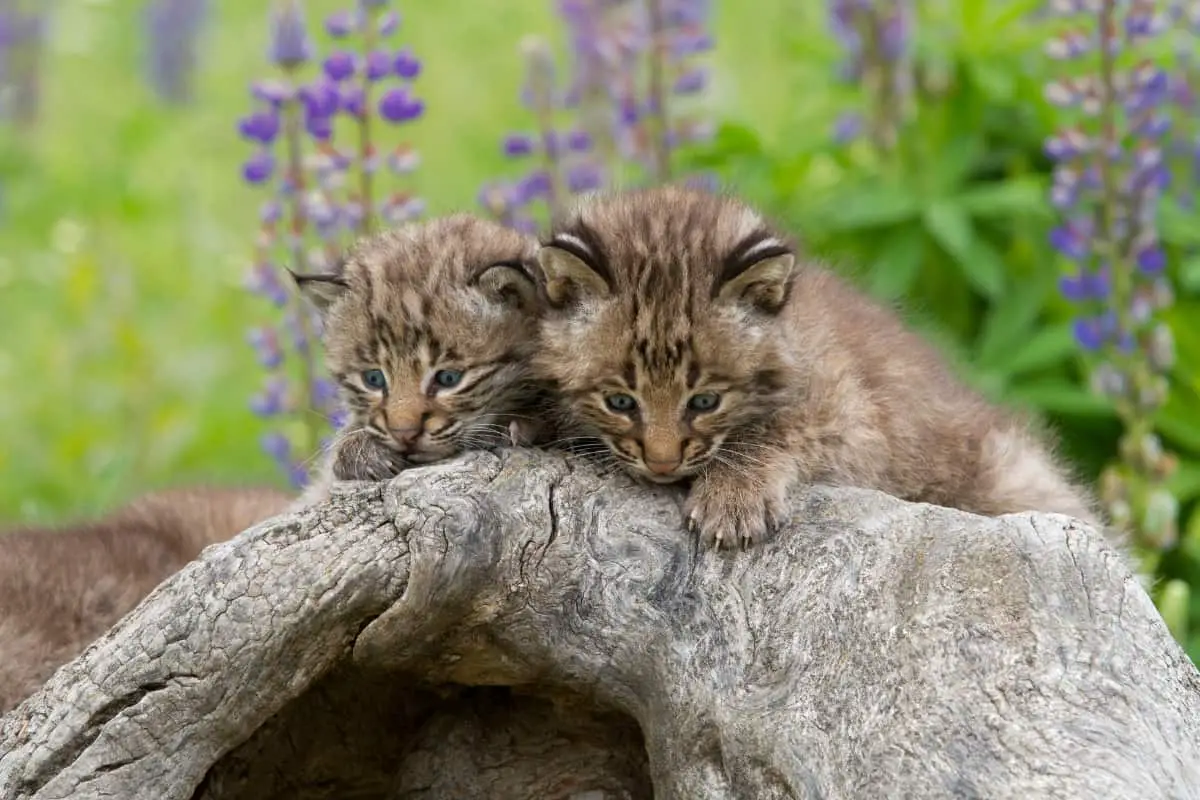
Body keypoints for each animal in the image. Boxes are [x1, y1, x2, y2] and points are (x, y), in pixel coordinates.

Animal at [535, 185, 1104, 551]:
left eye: (704, 401)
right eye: (620, 401)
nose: (661, 464)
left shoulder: (854, 419)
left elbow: (775, 429)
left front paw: (732, 496)